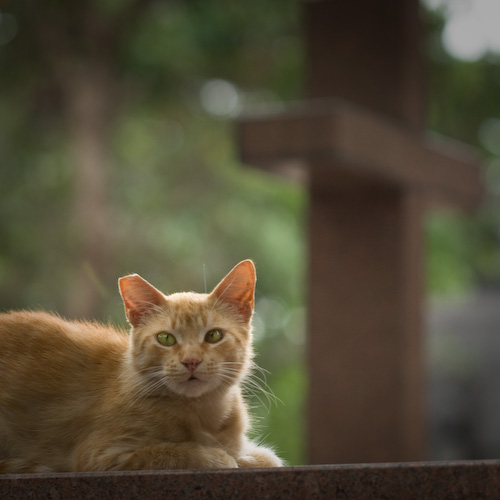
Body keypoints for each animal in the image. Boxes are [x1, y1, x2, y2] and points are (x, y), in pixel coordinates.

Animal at [0, 262, 282, 472]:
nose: (191, 360)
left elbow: (261, 457)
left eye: (213, 335)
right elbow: (168, 452)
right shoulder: (99, 455)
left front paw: (249, 456)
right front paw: (216, 457)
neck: (204, 413)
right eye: (165, 338)